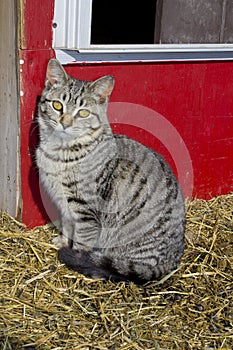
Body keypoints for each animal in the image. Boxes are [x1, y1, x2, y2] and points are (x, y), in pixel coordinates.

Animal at [36, 59, 186, 284]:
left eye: (83, 112)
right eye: (57, 105)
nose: (65, 123)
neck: (60, 153)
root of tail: (174, 259)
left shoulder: (85, 211)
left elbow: (82, 240)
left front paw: (76, 258)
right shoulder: (65, 205)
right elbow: (67, 226)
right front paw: (62, 241)